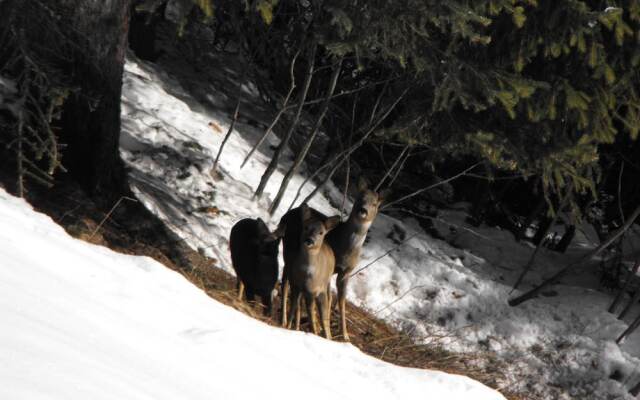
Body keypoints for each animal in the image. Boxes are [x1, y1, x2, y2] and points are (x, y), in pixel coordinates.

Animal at [280, 203, 340, 338]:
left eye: (321, 232)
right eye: (306, 227)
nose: (309, 240)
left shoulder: (316, 291)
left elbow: (319, 317)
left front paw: (323, 336)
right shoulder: (297, 285)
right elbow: (296, 308)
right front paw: (288, 327)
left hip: (323, 286)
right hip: (287, 261)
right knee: (285, 287)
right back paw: (285, 322)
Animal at [328, 180, 388, 340]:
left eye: (375, 203)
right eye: (360, 197)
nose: (363, 210)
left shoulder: (346, 273)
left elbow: (342, 301)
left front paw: (345, 335)